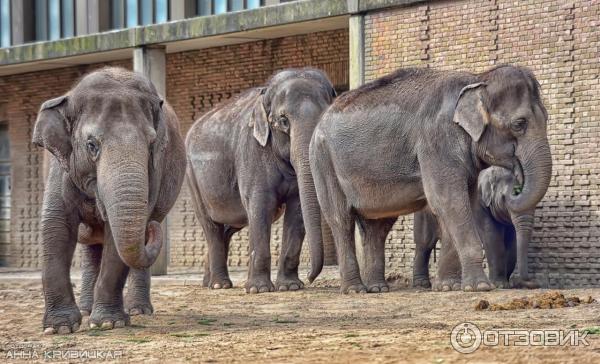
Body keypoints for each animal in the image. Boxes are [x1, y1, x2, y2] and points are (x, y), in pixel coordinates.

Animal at [32, 67, 186, 334]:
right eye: (91, 145)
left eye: (152, 144)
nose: (153, 226)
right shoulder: (60, 166)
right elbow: (56, 226)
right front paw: (59, 328)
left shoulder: (155, 169)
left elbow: (116, 238)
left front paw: (108, 323)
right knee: (90, 246)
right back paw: (86, 309)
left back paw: (138, 310)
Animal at [186, 68, 336, 294]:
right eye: (283, 120)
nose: (310, 278)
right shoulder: (252, 150)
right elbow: (260, 205)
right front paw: (259, 289)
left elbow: (297, 208)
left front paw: (290, 286)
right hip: (193, 179)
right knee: (211, 226)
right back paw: (219, 285)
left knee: (230, 226)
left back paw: (208, 281)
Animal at [412, 166, 540, 292]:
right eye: (505, 198)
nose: (531, 283)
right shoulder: (480, 204)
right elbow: (492, 236)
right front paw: (500, 285)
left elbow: (512, 242)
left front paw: (506, 284)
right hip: (424, 214)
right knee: (425, 244)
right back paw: (422, 284)